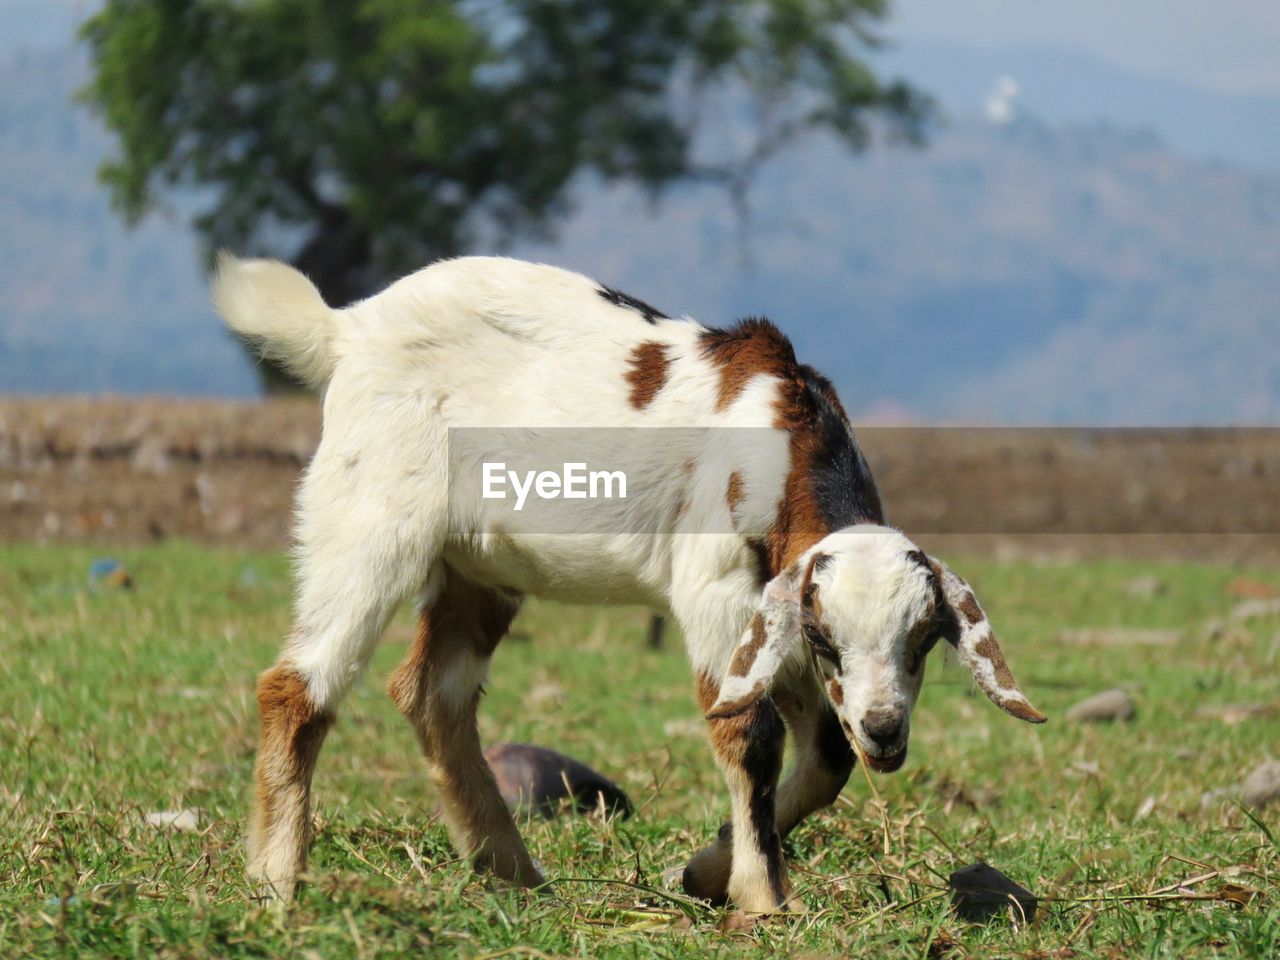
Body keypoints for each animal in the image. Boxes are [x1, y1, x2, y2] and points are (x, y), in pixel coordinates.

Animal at [215, 252, 1044, 911]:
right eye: (825, 636)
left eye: (925, 640)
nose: (885, 730)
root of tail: (345, 329)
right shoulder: (719, 593)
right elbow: (750, 734)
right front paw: (764, 901)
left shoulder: (767, 614)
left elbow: (826, 754)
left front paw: (706, 874)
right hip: (370, 520)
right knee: (298, 685)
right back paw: (277, 881)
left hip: (476, 568)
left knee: (432, 693)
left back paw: (514, 873)